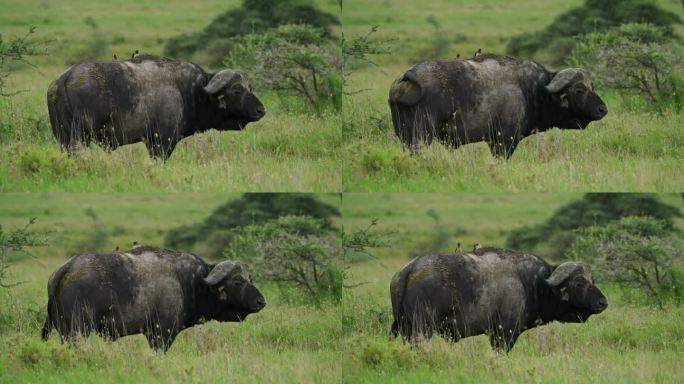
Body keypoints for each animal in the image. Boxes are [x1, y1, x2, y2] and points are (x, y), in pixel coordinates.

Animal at [40, 246, 264, 352]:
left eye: (250, 279)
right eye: (238, 281)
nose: (262, 302)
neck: (189, 282)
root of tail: (66, 270)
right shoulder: (161, 334)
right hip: (79, 331)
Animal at [46, 55, 266, 159]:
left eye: (250, 88)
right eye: (237, 90)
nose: (261, 111)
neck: (190, 90)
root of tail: (64, 80)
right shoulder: (162, 141)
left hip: (63, 139)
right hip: (79, 139)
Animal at [388, 52, 608, 158]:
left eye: (592, 87)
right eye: (579, 90)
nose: (603, 109)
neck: (533, 89)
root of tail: (408, 76)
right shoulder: (504, 141)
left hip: (404, 136)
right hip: (422, 136)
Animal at [390, 248, 608, 352]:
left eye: (592, 280)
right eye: (579, 283)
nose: (603, 303)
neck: (532, 283)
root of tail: (410, 270)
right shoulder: (504, 334)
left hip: (404, 328)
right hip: (422, 328)